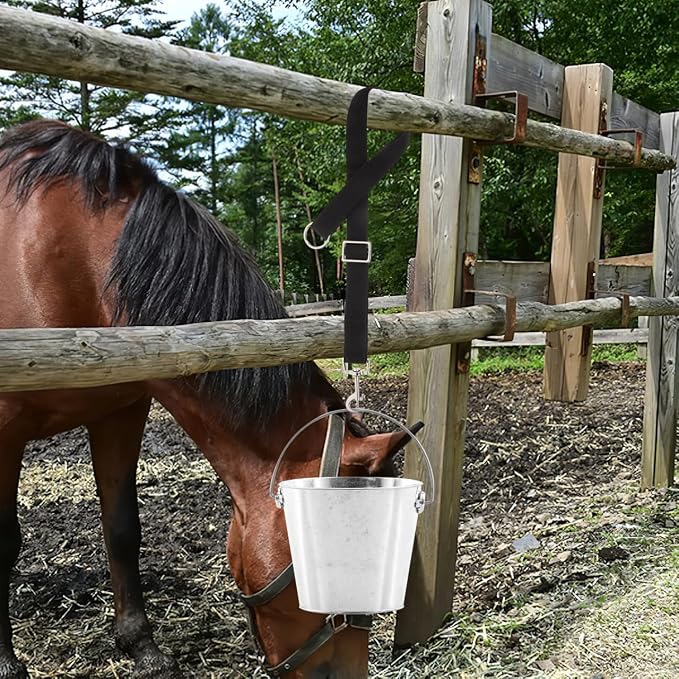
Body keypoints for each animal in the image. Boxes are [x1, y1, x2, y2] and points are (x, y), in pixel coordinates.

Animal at [0, 120, 415, 679]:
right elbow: (3, 541)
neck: (68, 265)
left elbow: (122, 528)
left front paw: (142, 646)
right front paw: (5, 660)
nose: (349, 673)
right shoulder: (5, 432)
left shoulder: (119, 412)